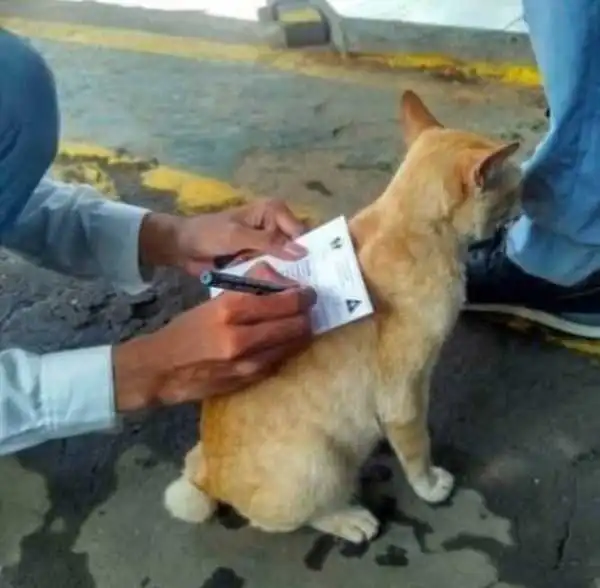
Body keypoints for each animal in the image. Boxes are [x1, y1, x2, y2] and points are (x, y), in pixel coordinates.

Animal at [163, 90, 522, 543]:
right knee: (288, 517)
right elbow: (418, 449)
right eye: (518, 187)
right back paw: (347, 518)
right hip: (319, 462)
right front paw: (429, 486)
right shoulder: (404, 395)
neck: (412, 228)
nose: (532, 198)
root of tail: (208, 478)